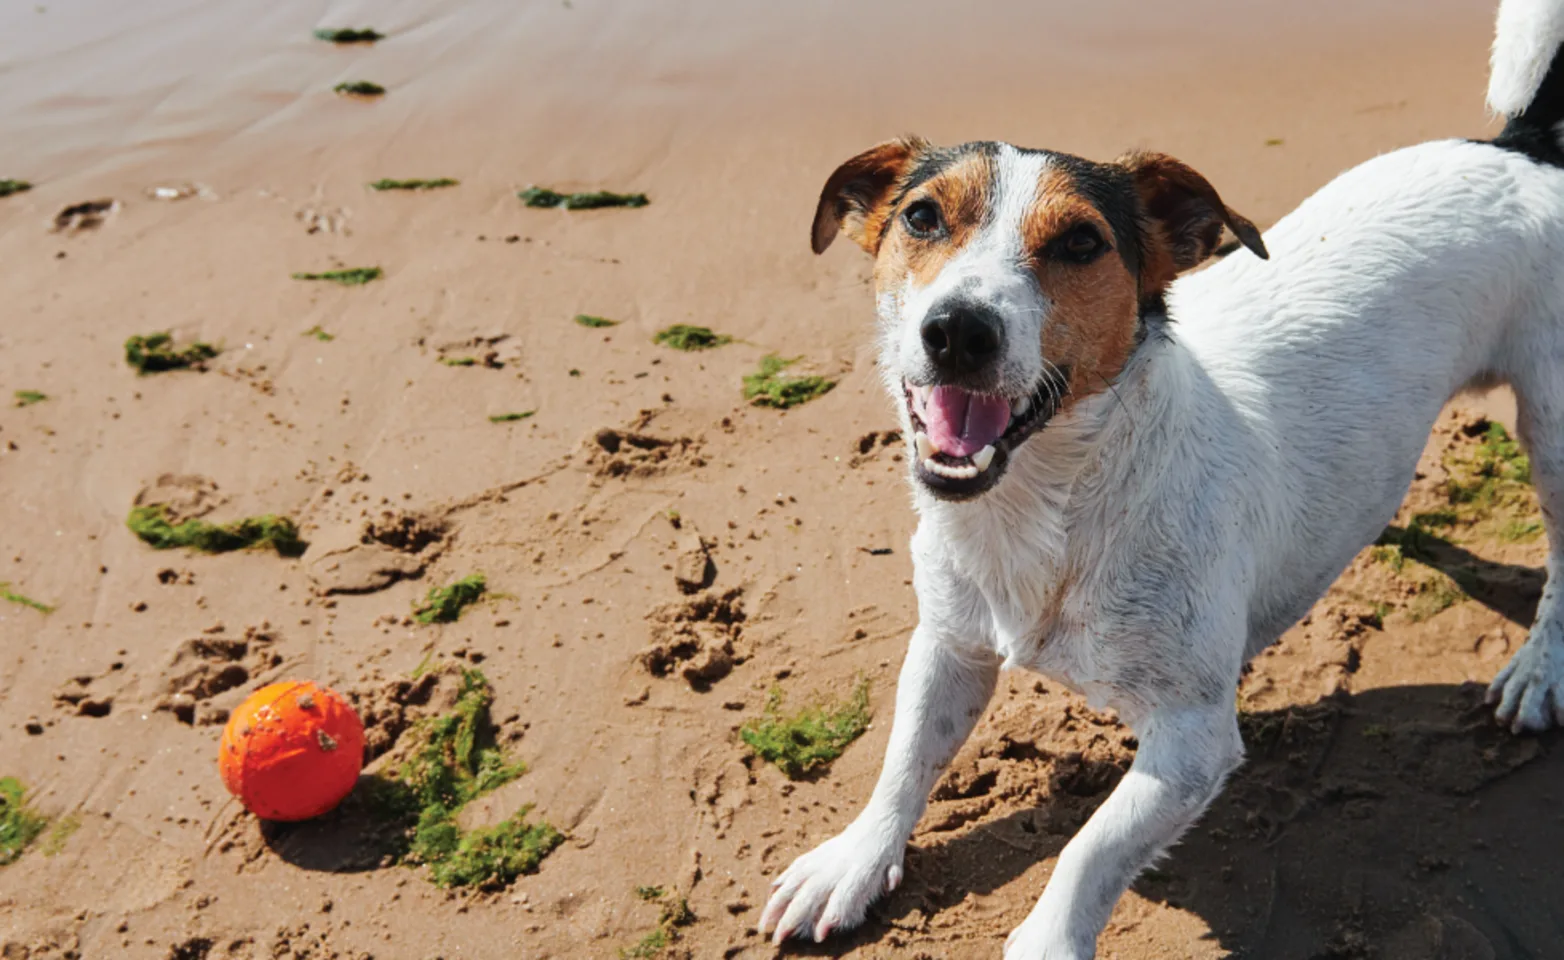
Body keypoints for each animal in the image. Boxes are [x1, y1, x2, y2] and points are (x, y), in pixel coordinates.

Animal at [763, 3, 1564, 956]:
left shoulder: (1192, 738)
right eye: (921, 217)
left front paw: (1047, 940)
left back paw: (1540, 669)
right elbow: (905, 758)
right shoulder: (949, 644)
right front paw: (853, 859)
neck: (1046, 511)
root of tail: (1520, 151)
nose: (957, 330)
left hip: (1554, 424)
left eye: (1081, 242)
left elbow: (1090, 849)